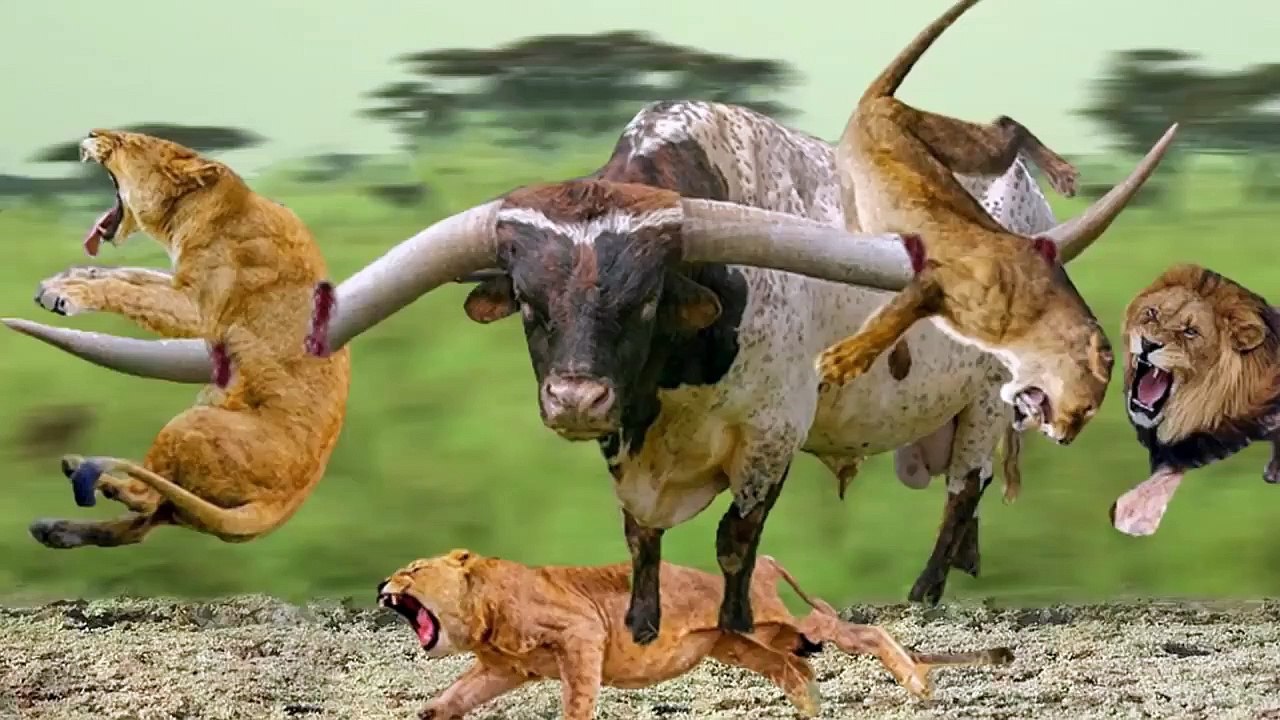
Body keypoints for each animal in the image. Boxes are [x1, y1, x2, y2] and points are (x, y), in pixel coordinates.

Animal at [6, 129, 350, 549]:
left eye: (128, 142)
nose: (91, 134)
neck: (195, 209)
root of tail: (285, 503)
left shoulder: (195, 309)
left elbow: (127, 290)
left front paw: (65, 294)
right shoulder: (177, 283)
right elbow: (131, 276)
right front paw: (73, 276)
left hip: (192, 421)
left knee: (145, 499)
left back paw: (87, 474)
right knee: (141, 522)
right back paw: (56, 528)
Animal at [378, 549, 1014, 719]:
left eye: (413, 568)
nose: (383, 582)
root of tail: (766, 562)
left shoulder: (580, 631)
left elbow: (578, 696)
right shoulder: (501, 668)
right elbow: (452, 699)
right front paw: (429, 713)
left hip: (778, 621)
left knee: (857, 629)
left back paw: (917, 682)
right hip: (743, 644)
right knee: (795, 666)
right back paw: (811, 707)